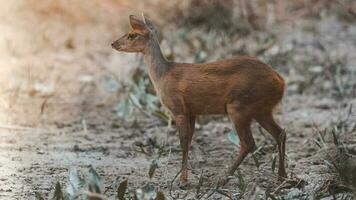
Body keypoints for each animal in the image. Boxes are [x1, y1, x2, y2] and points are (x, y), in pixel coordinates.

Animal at [112, 15, 288, 188]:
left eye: (132, 35)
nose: (113, 43)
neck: (163, 76)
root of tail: (280, 82)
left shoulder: (178, 109)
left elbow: (183, 143)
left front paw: (183, 181)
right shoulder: (192, 112)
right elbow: (189, 142)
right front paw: (184, 178)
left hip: (239, 107)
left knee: (249, 142)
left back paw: (223, 179)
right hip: (261, 109)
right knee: (280, 133)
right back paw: (282, 177)